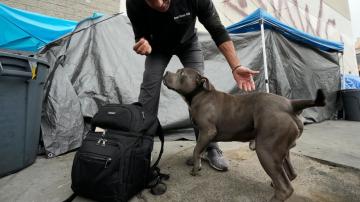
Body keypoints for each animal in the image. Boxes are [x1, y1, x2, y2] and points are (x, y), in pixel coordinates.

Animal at [163, 68, 326, 202]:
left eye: (181, 73)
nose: (166, 72)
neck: (199, 94)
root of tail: (290, 104)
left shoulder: (207, 131)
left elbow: (196, 149)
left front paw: (196, 168)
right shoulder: (204, 134)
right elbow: (199, 148)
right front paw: (196, 162)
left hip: (266, 149)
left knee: (286, 188)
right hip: (281, 149)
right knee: (291, 174)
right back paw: (276, 183)